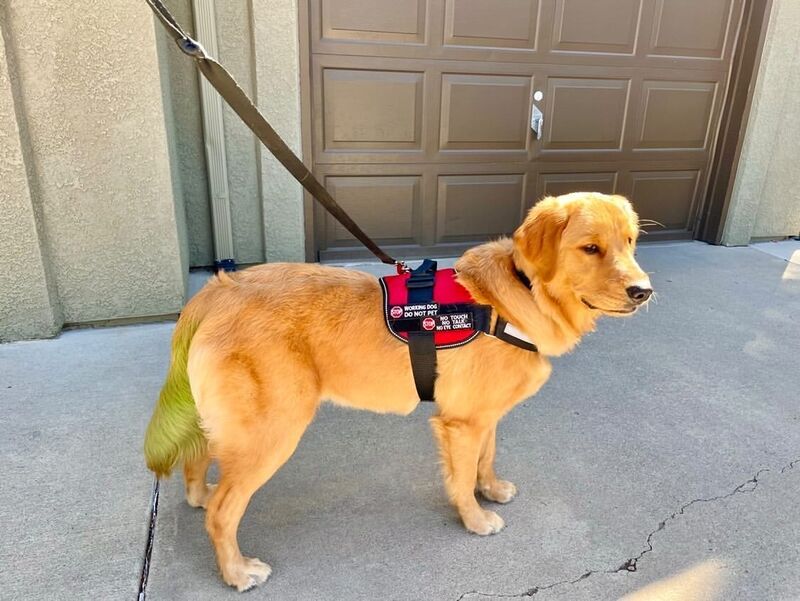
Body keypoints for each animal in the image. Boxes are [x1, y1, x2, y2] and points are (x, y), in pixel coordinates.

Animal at [147, 193, 652, 592]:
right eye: (590, 248)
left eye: (630, 241)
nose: (643, 291)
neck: (518, 293)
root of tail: (217, 289)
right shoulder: (462, 423)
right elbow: (462, 478)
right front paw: (475, 519)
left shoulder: (483, 415)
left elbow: (486, 459)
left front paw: (490, 489)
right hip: (272, 431)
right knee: (222, 514)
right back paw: (236, 571)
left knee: (198, 462)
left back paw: (201, 494)